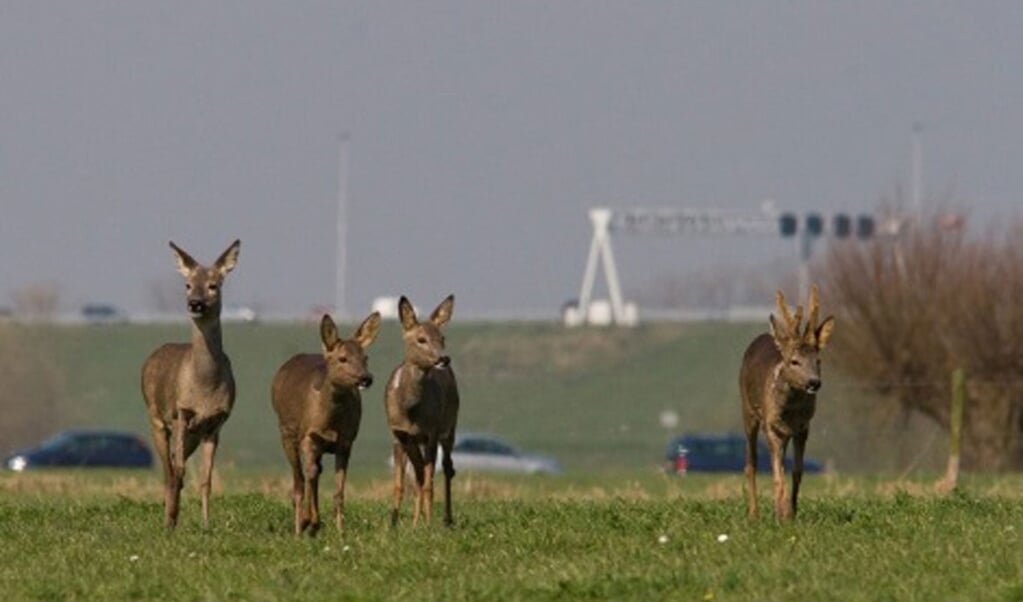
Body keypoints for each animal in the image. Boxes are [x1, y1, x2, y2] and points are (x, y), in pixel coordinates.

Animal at [140, 237, 239, 528]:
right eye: (187, 285)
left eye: (213, 285)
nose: (195, 303)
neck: (205, 387)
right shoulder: (181, 413)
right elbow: (179, 471)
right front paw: (172, 520)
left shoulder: (215, 424)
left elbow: (206, 480)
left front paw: (206, 524)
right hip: (156, 418)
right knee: (169, 470)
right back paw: (168, 519)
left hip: (192, 433)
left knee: (175, 466)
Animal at [270, 313, 382, 532]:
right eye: (342, 358)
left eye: (365, 358)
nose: (366, 378)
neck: (330, 422)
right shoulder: (308, 435)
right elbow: (309, 473)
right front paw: (307, 520)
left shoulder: (346, 441)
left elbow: (338, 491)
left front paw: (339, 531)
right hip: (285, 432)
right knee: (299, 479)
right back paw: (300, 525)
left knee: (315, 472)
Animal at [384, 294, 460, 528]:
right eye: (421, 339)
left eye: (442, 337)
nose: (443, 359)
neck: (410, 411)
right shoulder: (398, 434)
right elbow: (401, 484)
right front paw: (393, 524)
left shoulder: (431, 433)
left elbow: (428, 482)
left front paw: (428, 524)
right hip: (415, 441)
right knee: (418, 474)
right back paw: (416, 522)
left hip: (450, 426)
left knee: (447, 468)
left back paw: (446, 519)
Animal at [740, 284, 834, 520]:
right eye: (794, 361)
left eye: (818, 360)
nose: (814, 382)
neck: (790, 410)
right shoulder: (771, 426)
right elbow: (776, 474)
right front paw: (782, 515)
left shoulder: (803, 427)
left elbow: (796, 471)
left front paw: (791, 512)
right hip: (748, 411)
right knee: (751, 462)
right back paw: (753, 514)